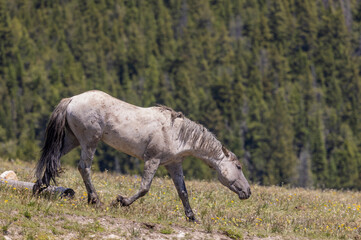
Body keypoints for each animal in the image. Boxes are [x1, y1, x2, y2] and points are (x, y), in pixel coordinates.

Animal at [33, 90, 249, 221]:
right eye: (238, 167)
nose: (248, 192)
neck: (178, 134)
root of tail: (72, 99)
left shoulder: (174, 164)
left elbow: (183, 192)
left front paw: (192, 217)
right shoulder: (152, 160)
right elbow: (145, 188)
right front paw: (121, 201)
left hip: (72, 140)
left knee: (53, 160)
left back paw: (39, 188)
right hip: (89, 141)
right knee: (83, 167)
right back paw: (95, 200)